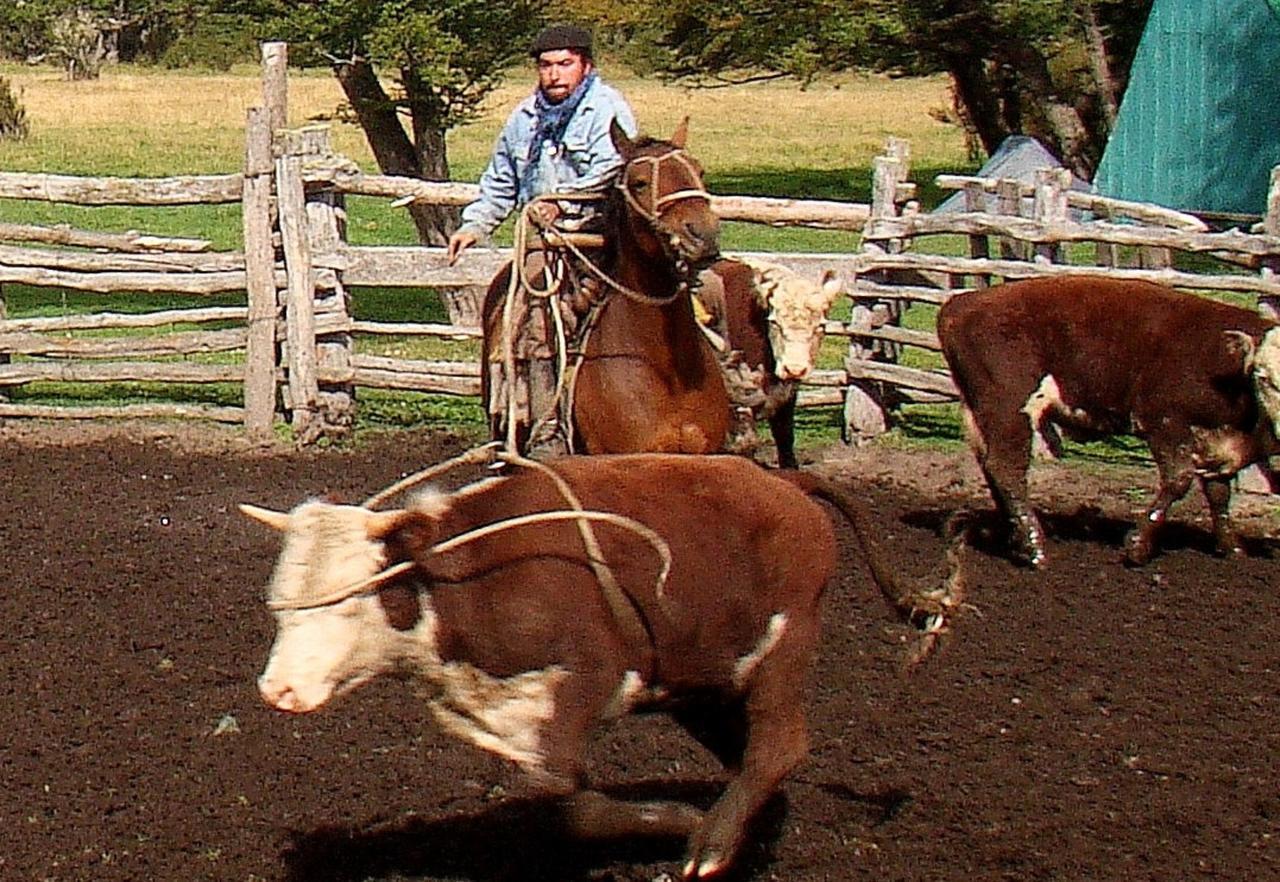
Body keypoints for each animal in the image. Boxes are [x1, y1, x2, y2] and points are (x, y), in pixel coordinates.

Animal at [244, 453, 911, 880]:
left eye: (349, 598)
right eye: (281, 600)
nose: (279, 690)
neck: (464, 580)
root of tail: (783, 484)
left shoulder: (584, 682)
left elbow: (572, 801)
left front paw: (677, 819)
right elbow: (564, 799)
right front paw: (672, 816)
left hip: (783, 648)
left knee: (778, 745)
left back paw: (712, 846)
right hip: (707, 682)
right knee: (748, 754)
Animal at [936, 271, 1280, 568]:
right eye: (1263, 376)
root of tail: (963, 303)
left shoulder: (1216, 440)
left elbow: (1219, 494)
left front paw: (1232, 549)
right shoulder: (1164, 420)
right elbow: (1178, 479)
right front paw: (1138, 545)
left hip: (979, 410)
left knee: (991, 468)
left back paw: (1014, 539)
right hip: (1008, 405)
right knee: (1006, 468)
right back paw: (1035, 549)